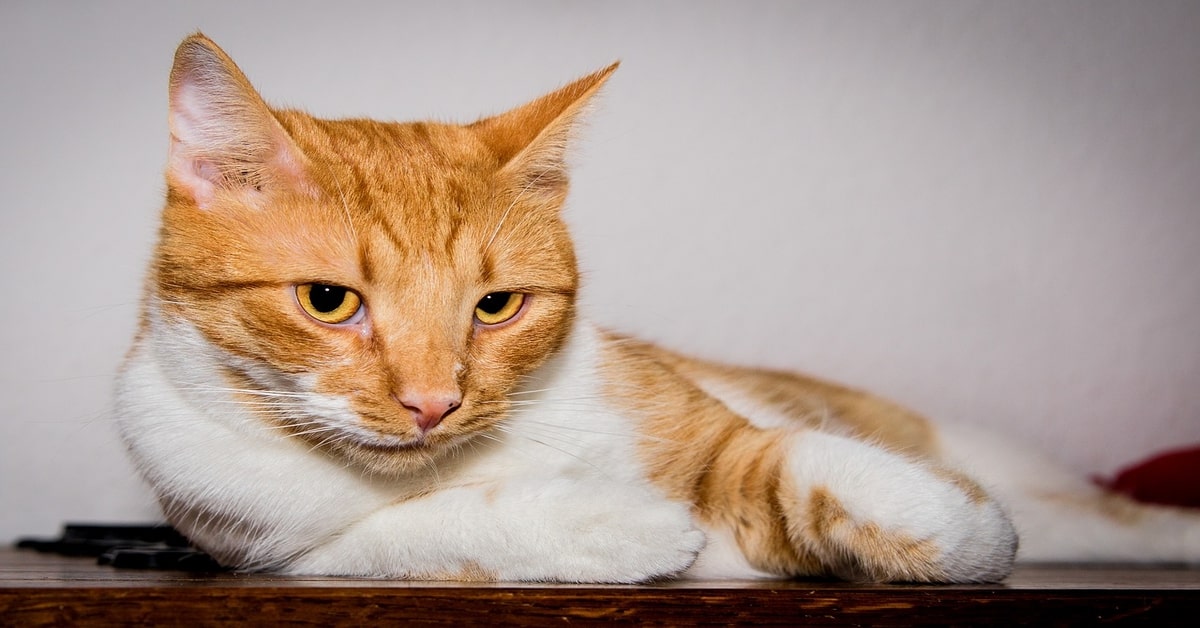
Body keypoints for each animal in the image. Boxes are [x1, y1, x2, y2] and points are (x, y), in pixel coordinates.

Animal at [114, 33, 1200, 585]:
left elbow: (778, 455)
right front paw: (620, 527)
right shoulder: (270, 545)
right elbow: (426, 534)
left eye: (496, 306)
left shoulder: (711, 430)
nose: (433, 403)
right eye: (329, 301)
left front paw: (955, 530)